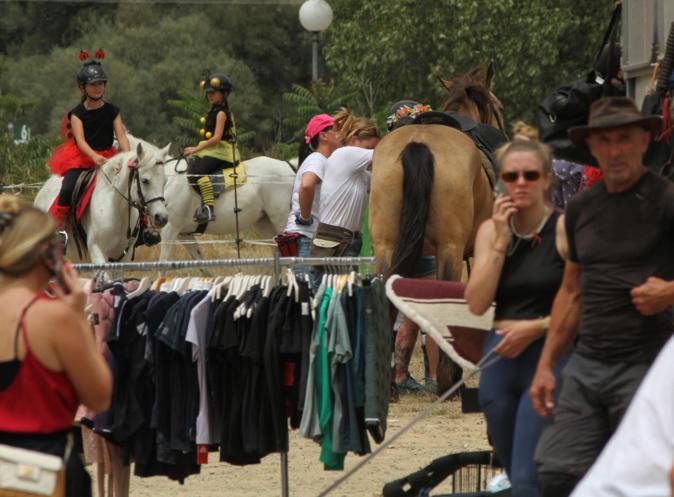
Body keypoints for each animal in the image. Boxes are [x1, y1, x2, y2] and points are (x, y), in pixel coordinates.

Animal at [33, 141, 171, 262]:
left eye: (165, 181)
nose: (162, 217)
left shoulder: (123, 256)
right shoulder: (97, 251)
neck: (117, 210)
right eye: (145, 181)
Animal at [126, 134, 294, 262]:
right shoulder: (183, 234)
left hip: (281, 220)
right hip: (264, 223)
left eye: (145, 180)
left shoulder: (170, 229)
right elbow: (201, 264)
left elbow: (163, 264)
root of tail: (289, 167)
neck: (167, 182)